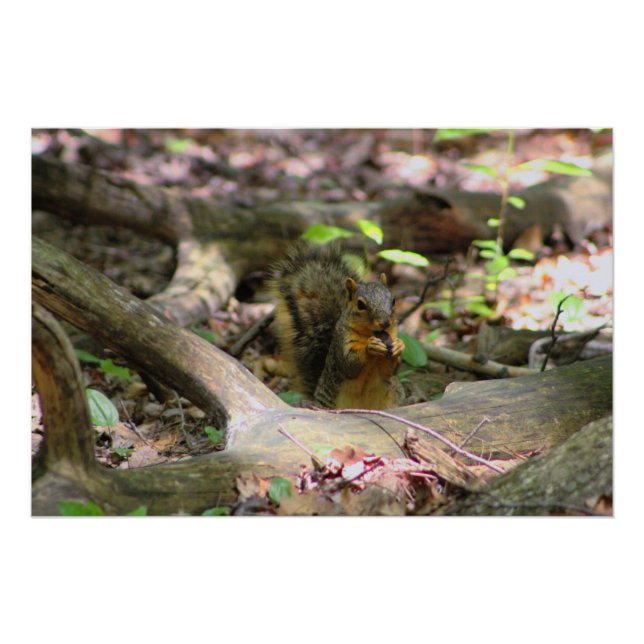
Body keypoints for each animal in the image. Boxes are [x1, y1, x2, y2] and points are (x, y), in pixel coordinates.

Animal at [268, 242, 405, 409]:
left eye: (393, 300)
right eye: (360, 304)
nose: (385, 322)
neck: (370, 333)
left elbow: (388, 371)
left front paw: (399, 346)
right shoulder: (342, 341)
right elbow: (349, 364)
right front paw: (370, 346)